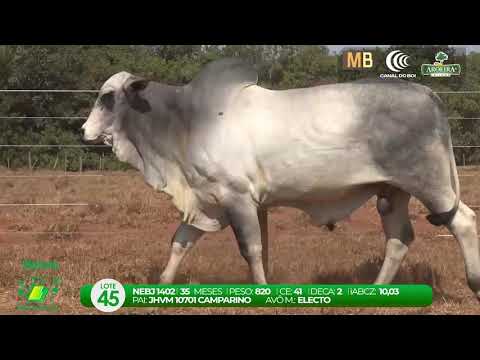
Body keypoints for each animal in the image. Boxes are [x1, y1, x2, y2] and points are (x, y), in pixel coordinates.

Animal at [81, 57, 480, 300]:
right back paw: (375, 291)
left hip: (429, 183)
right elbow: (180, 242)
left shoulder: (237, 198)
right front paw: (163, 285)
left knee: (463, 221)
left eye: (107, 98)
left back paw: (473, 283)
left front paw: (260, 291)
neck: (184, 122)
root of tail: (425, 91)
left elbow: (251, 248)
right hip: (393, 192)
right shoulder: (207, 200)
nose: (84, 132)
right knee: (398, 240)